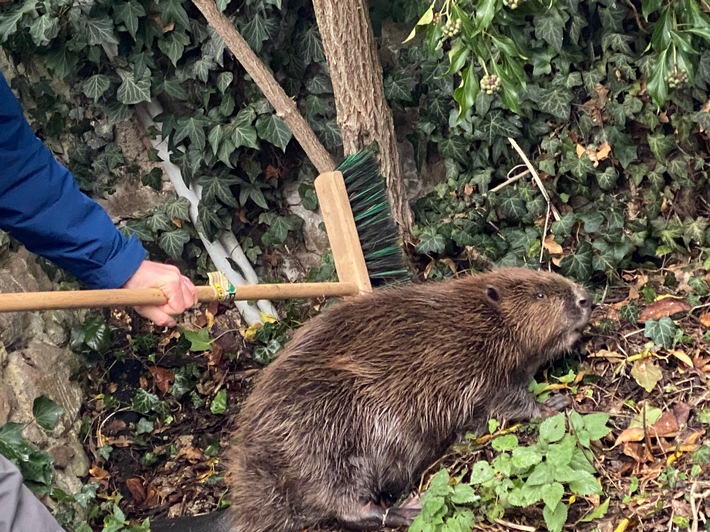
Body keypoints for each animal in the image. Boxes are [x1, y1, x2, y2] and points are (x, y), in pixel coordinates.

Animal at [153, 268, 592, 528]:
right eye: (539, 295)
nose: (584, 298)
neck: (476, 321)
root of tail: (243, 506)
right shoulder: (473, 368)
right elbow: (507, 401)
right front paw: (554, 405)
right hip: (324, 436)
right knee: (346, 507)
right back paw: (411, 505)